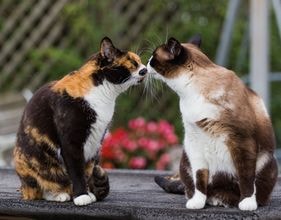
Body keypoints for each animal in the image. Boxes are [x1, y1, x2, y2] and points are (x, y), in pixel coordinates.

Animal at [13, 36, 147, 206]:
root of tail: (22, 188)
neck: (103, 94)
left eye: (140, 61)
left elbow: (87, 170)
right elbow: (76, 170)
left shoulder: (95, 141)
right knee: (39, 189)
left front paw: (88, 193)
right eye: (133, 62)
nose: (145, 69)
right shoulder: (71, 142)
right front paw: (81, 196)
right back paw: (60, 194)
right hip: (29, 163)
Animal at [148, 35, 276, 211]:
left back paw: (231, 201)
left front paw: (247, 203)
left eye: (154, 56)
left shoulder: (241, 139)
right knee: (196, 187)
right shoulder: (194, 139)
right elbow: (199, 178)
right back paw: (214, 199)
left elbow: (246, 176)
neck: (190, 93)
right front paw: (197, 203)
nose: (146, 62)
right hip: (186, 156)